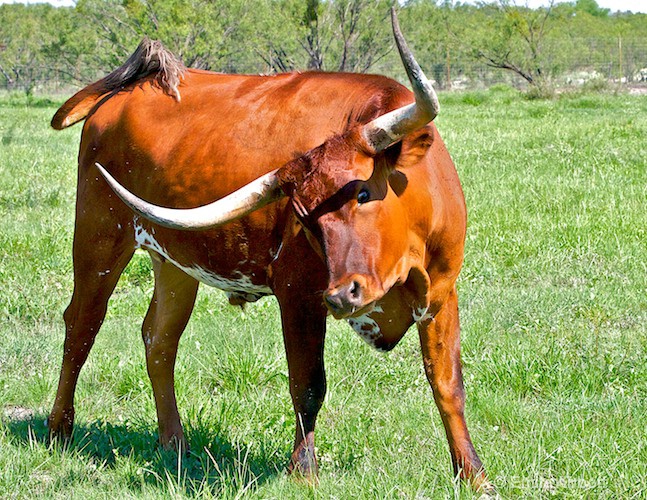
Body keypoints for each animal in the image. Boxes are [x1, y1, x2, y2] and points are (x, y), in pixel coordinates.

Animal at [50, 8, 494, 492]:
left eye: (361, 192)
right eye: (302, 217)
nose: (343, 295)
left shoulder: (441, 294)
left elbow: (448, 384)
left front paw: (473, 474)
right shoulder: (299, 296)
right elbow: (308, 384)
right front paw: (303, 472)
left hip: (174, 260)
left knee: (159, 338)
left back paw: (175, 443)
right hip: (98, 237)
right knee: (82, 324)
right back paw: (59, 430)